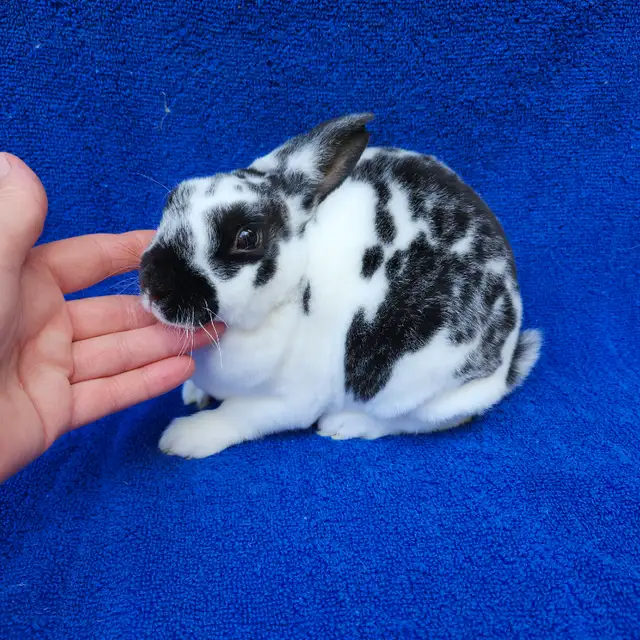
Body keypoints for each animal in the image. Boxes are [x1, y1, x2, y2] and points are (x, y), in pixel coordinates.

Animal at [138, 113, 541, 458]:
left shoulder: (292, 401)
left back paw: (344, 424)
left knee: (418, 420)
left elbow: (236, 417)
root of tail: (506, 360)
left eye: (246, 237)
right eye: (173, 199)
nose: (153, 286)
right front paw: (193, 393)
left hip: (418, 384)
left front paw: (183, 437)